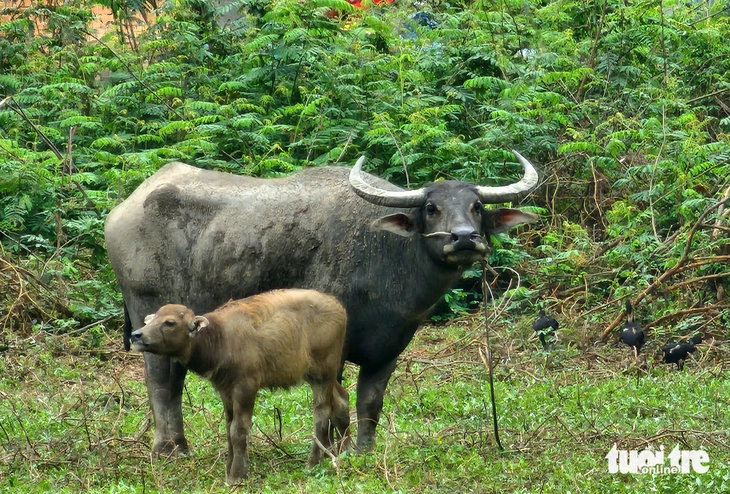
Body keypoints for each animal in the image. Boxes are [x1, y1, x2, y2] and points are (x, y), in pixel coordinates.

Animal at [105, 152, 536, 454]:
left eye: (476, 207)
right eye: (432, 208)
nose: (463, 238)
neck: (387, 255)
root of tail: (123, 210)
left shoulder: (389, 349)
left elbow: (370, 403)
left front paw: (363, 452)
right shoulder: (331, 348)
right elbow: (332, 401)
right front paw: (333, 451)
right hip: (150, 320)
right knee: (162, 382)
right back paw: (168, 450)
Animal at [129, 288, 352, 484]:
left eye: (170, 322)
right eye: (150, 320)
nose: (136, 335)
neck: (220, 339)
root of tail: (339, 307)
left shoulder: (246, 387)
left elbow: (239, 429)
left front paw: (237, 475)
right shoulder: (225, 390)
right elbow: (229, 429)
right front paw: (230, 469)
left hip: (323, 373)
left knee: (322, 412)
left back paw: (313, 462)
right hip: (320, 375)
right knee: (341, 400)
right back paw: (345, 452)